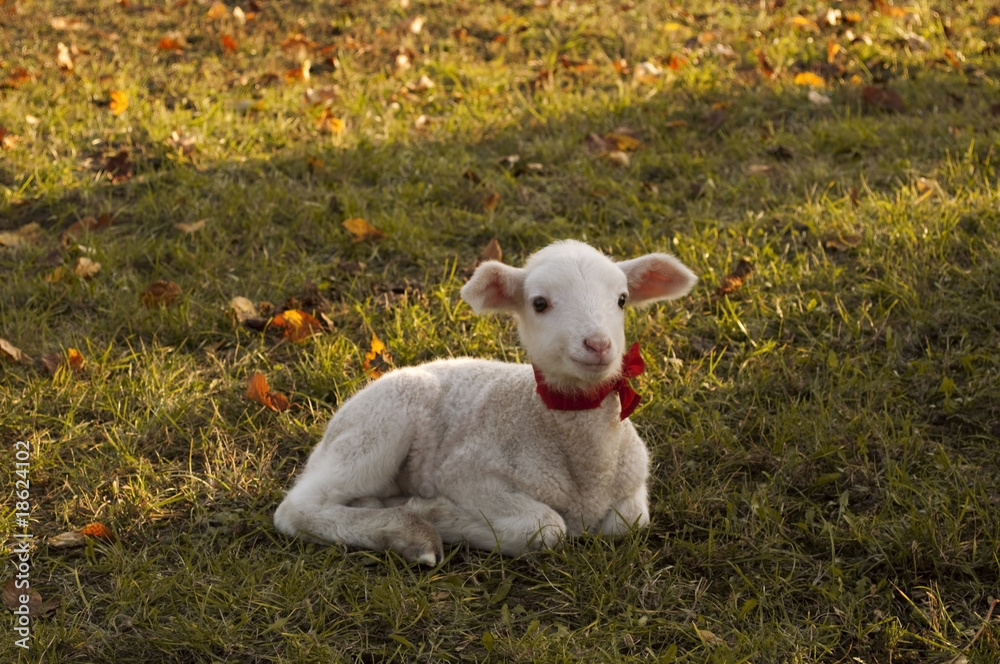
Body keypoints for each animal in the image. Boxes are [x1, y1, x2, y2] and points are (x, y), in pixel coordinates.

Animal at [273, 240, 697, 565]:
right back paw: (409, 532)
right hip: (377, 426)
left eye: (622, 299)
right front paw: (434, 513)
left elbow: (629, 522)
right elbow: (544, 527)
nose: (598, 345)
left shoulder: (633, 483)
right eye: (539, 303)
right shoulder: (466, 474)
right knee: (297, 509)